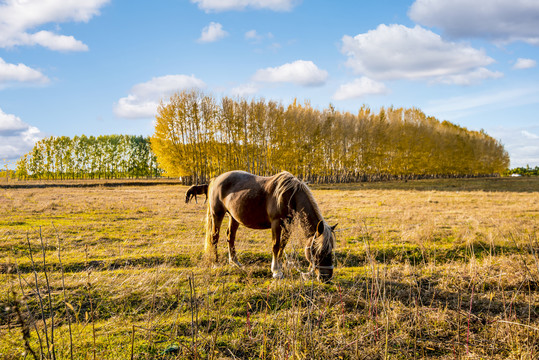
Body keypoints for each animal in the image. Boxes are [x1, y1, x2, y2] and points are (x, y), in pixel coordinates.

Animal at [206, 171, 338, 282]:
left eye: (331, 249)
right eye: (319, 251)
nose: (326, 277)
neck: (290, 195)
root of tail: (216, 179)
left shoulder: (288, 225)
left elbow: (282, 246)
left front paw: (279, 266)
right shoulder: (276, 223)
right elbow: (276, 245)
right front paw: (276, 271)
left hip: (233, 217)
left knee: (231, 237)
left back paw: (234, 262)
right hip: (217, 214)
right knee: (214, 238)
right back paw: (216, 263)